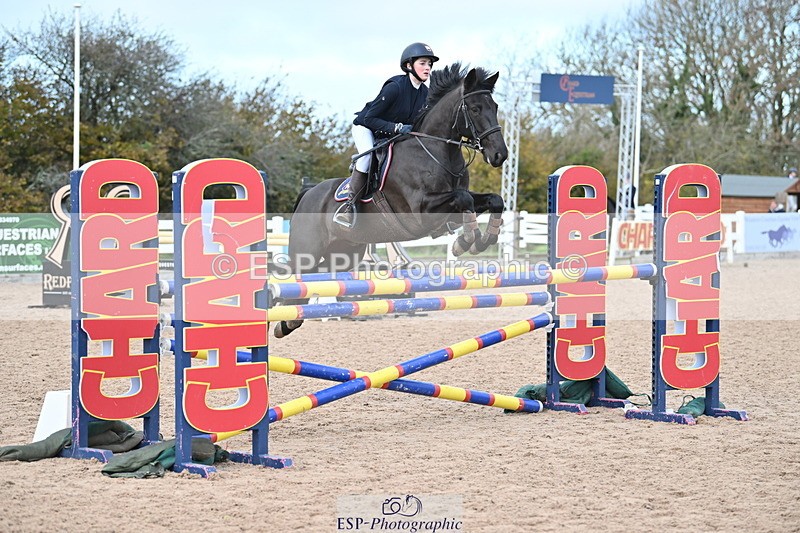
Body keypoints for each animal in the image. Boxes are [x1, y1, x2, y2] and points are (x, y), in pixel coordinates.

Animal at [273, 62, 509, 338]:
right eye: (475, 108)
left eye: (494, 107)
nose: (500, 155)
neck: (436, 151)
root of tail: (308, 193)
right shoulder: (421, 212)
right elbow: (463, 200)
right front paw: (467, 241)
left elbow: (493, 200)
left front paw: (482, 240)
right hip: (308, 249)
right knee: (295, 276)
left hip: (343, 254)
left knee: (316, 279)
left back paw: (288, 322)